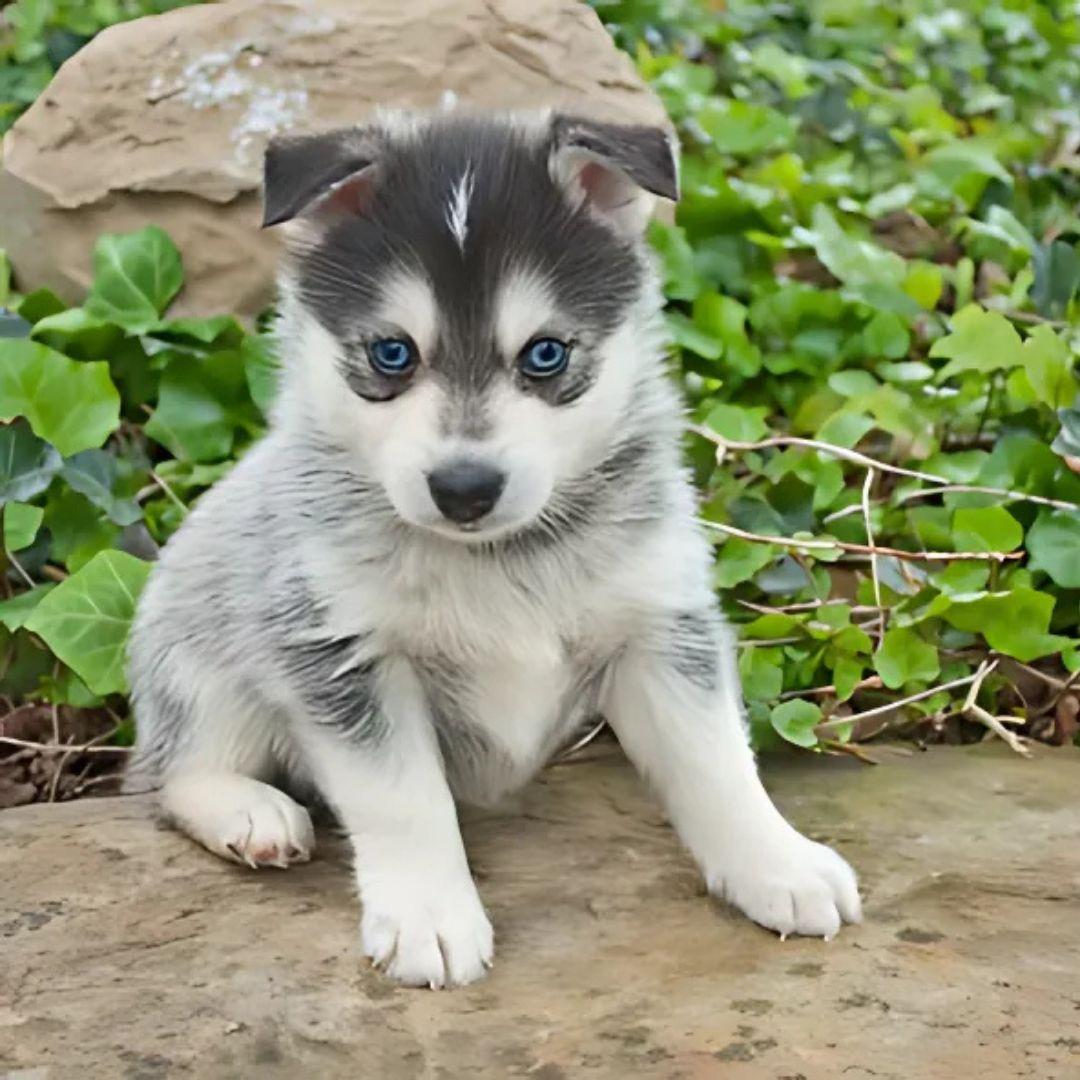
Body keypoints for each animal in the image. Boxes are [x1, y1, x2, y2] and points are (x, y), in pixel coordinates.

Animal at [126, 107, 864, 989]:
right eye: (391, 353)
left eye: (546, 354)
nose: (465, 488)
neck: (500, 559)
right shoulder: (340, 651)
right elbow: (404, 798)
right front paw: (430, 917)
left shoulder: (660, 624)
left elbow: (715, 758)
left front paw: (777, 863)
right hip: (200, 656)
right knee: (173, 769)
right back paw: (250, 811)